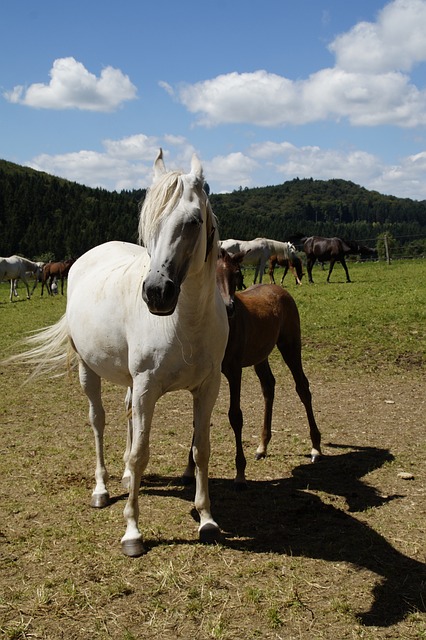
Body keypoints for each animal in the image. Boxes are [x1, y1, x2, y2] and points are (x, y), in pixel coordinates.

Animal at [4, 149, 230, 556]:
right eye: (149, 223)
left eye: (193, 221)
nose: (156, 293)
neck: (186, 321)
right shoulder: (147, 389)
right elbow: (140, 454)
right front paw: (132, 532)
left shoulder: (207, 388)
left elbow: (201, 450)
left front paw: (206, 520)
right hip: (89, 372)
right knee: (98, 422)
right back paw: (102, 488)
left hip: (131, 383)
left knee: (126, 419)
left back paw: (123, 477)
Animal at [184, 248, 322, 488]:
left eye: (237, 274)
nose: (228, 307)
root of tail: (279, 290)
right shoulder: (205, 376)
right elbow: (198, 419)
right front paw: (189, 469)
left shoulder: (234, 370)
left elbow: (235, 416)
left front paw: (240, 473)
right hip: (261, 356)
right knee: (269, 387)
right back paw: (262, 446)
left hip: (290, 346)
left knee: (303, 387)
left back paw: (315, 447)